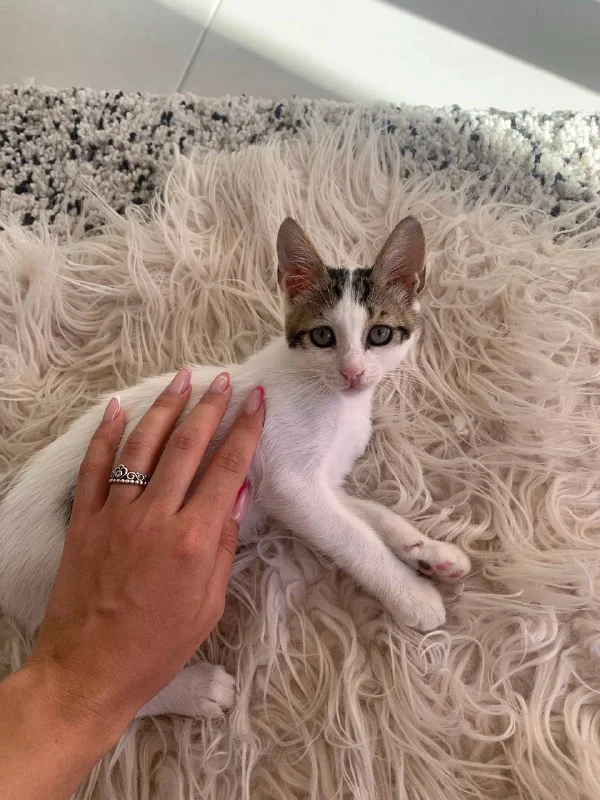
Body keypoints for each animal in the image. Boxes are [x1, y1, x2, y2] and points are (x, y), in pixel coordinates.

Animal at [0, 216, 470, 719]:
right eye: (324, 336)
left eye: (379, 334)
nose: (353, 373)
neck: (332, 399)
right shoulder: (290, 485)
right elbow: (353, 538)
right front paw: (412, 595)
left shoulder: (321, 484)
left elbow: (370, 515)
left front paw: (430, 551)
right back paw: (197, 690)